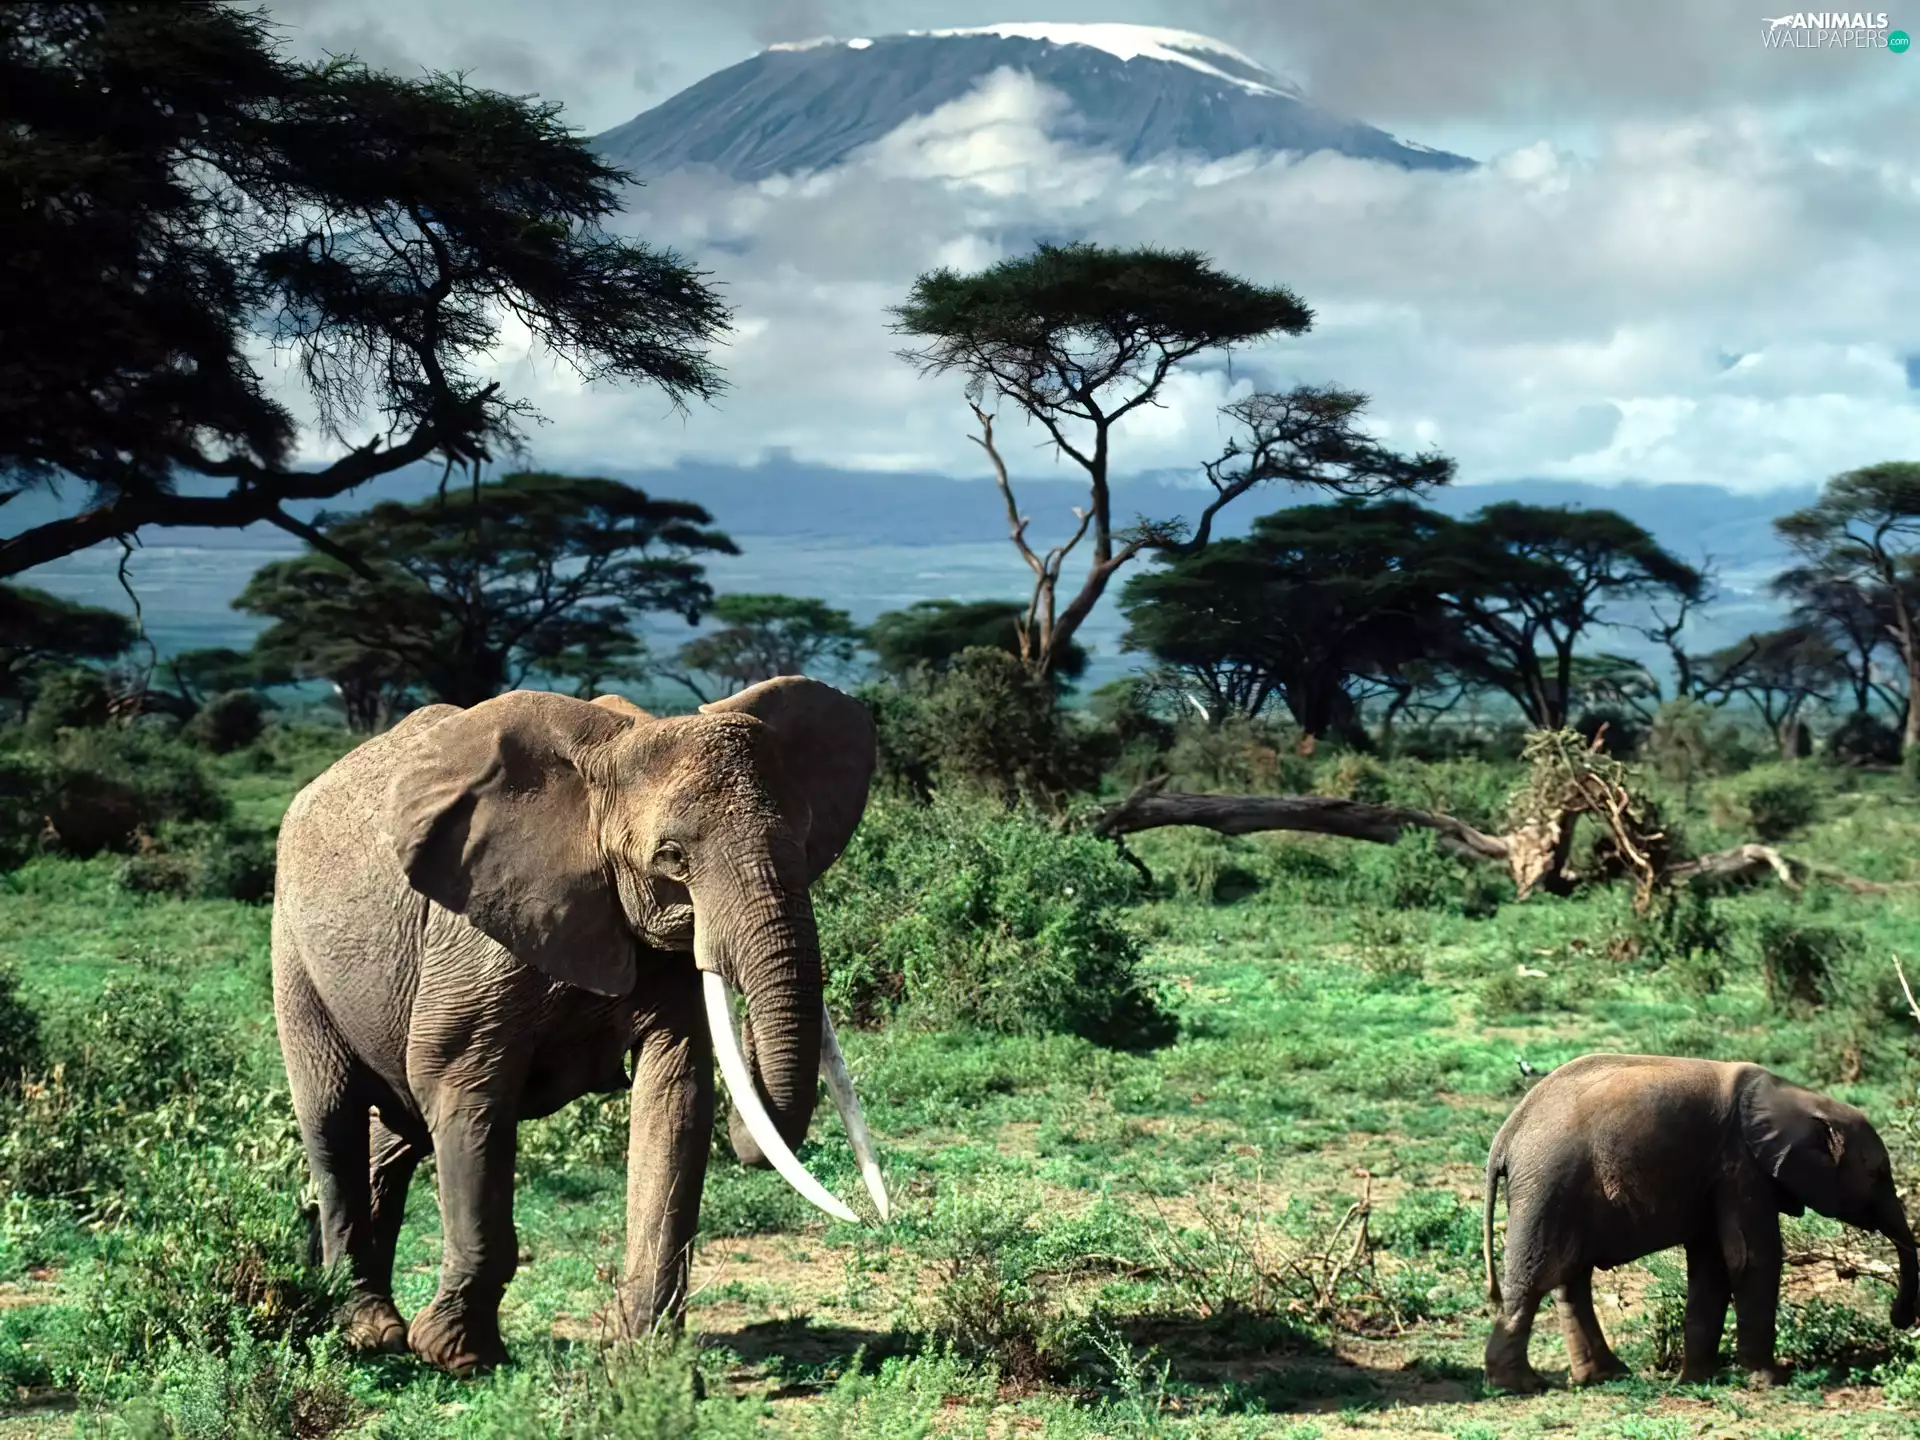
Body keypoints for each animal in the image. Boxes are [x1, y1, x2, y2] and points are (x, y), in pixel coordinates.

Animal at [270, 676, 890, 1377]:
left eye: (807, 839)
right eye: (672, 858)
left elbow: (675, 1097)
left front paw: (647, 1362)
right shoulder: (477, 937)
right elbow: (462, 1088)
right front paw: (461, 1358)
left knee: (393, 1139)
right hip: (294, 948)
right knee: (335, 1122)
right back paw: (368, 1334)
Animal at [1481, 1053, 1917, 1392]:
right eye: (1878, 1173)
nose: (1900, 1319)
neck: (1795, 1097)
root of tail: (1506, 1134)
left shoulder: (1716, 1176)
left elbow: (1712, 1266)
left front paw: (1696, 1380)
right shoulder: (1740, 1166)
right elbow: (1751, 1257)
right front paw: (1771, 1382)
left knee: (1570, 1280)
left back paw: (1606, 1376)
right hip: (1548, 1184)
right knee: (1536, 1278)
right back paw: (1521, 1385)